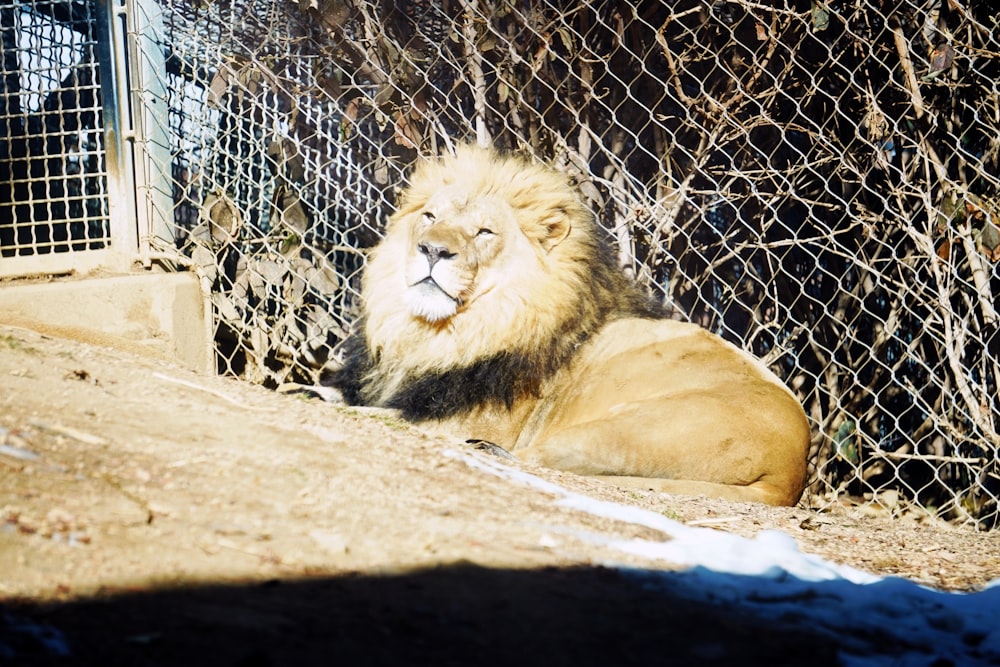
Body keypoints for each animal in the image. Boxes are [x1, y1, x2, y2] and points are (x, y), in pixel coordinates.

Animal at [328, 145, 812, 506]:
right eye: (430, 217)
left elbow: (389, 415)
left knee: (528, 457)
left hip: (628, 427)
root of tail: (791, 474)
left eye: (485, 232)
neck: (438, 331)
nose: (432, 250)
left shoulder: (468, 417)